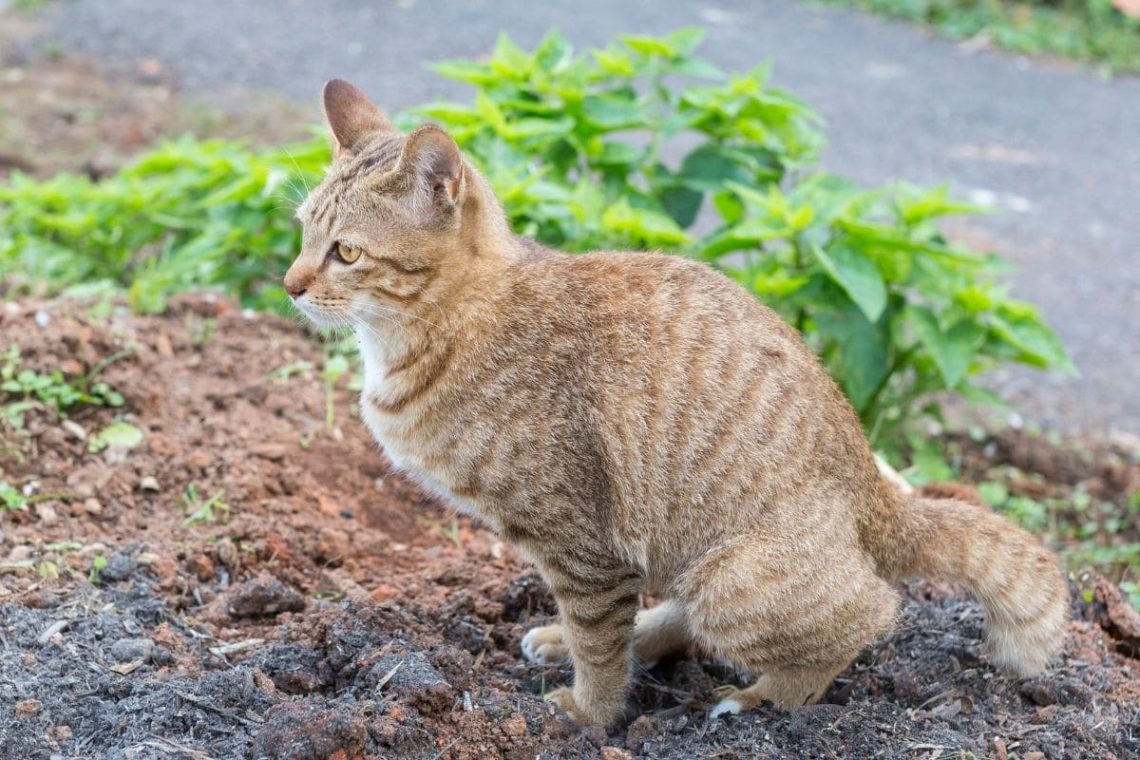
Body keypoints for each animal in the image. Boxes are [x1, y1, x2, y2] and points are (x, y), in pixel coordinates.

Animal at [285, 80, 1067, 729]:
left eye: (346, 253)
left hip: (732, 580)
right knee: (683, 613)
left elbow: (599, 648)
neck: (449, 323)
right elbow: (600, 634)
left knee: (870, 615)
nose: (289, 284)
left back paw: (759, 698)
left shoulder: (583, 547)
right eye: (300, 232)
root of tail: (880, 496)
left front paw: (589, 715)